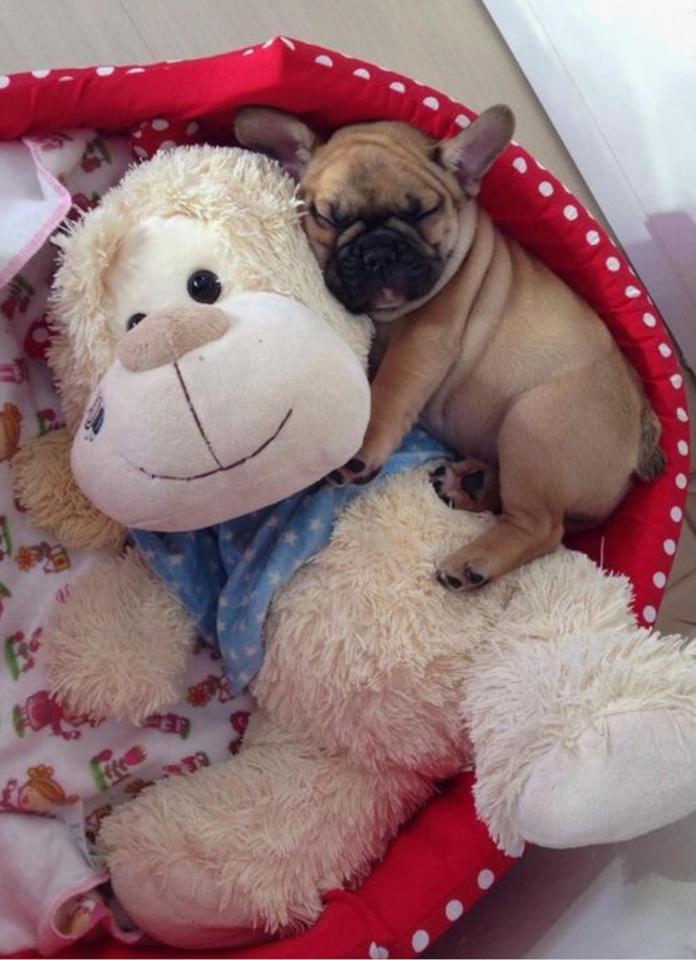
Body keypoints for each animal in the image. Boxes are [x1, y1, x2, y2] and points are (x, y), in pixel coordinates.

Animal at [237, 103, 668, 584]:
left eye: (424, 211)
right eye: (328, 218)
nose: (378, 252)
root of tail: (642, 424)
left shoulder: (424, 341)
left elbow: (387, 392)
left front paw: (360, 448)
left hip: (533, 425)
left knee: (542, 528)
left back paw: (472, 562)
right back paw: (471, 486)